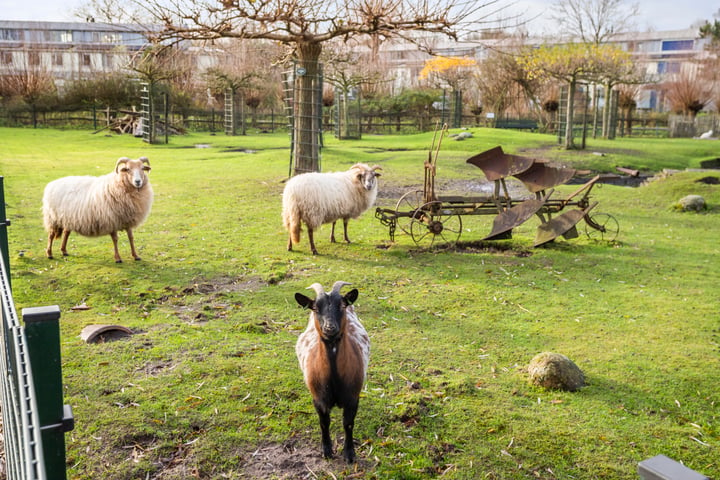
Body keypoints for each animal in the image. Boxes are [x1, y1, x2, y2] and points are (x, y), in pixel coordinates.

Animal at [294, 280, 372, 464]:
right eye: (315, 308)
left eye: (341, 305)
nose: (330, 327)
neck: (334, 379)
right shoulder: (319, 398)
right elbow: (324, 423)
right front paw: (327, 451)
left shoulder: (353, 398)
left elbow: (348, 423)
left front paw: (349, 454)